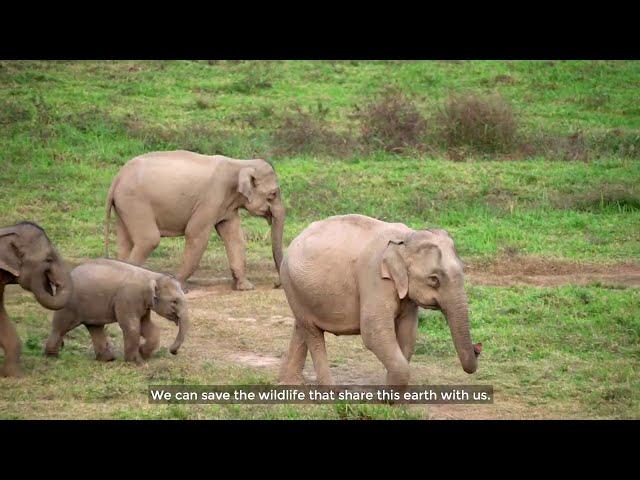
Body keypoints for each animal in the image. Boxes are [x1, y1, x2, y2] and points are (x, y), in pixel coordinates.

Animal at [44, 260, 189, 362]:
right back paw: (51, 357)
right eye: (174, 301)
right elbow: (131, 326)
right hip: (68, 305)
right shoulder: (128, 298)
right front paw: (137, 362)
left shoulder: (143, 303)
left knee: (95, 327)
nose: (173, 351)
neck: (152, 275)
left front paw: (142, 352)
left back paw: (108, 359)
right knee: (60, 327)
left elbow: (147, 326)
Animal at [104, 152, 284, 290]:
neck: (239, 163)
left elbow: (234, 237)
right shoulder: (210, 200)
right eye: (273, 194)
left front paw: (245, 287)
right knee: (149, 240)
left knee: (125, 243)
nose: (276, 284)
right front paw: (180, 287)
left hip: (123, 207)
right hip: (135, 202)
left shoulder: (227, 206)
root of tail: (117, 178)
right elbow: (196, 235)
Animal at [278, 214, 482, 386]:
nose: (478, 347)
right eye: (434, 279)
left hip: (301, 289)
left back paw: (290, 382)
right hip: (290, 283)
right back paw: (330, 392)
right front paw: (388, 400)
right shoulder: (374, 277)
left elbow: (408, 332)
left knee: (302, 327)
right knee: (313, 333)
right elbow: (373, 332)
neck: (406, 238)